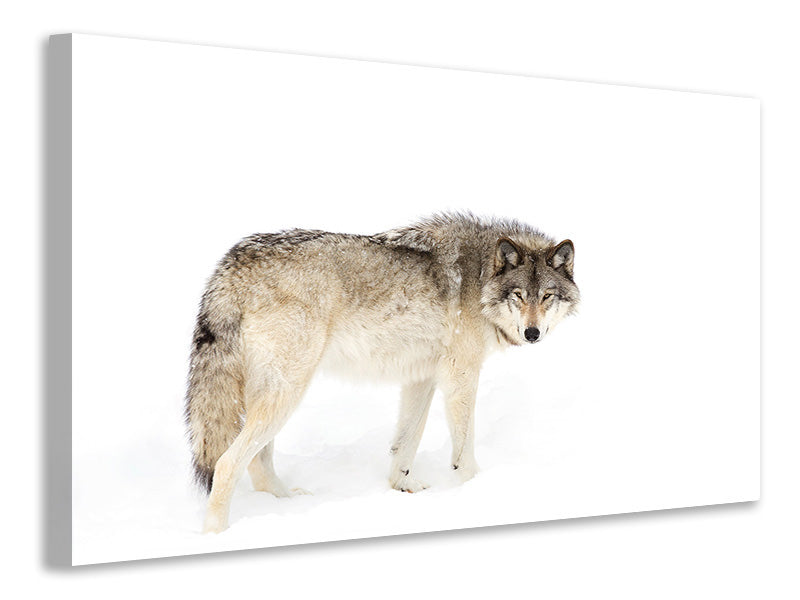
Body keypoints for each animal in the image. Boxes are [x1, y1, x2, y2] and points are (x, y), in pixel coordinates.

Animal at [185, 212, 580, 532]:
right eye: (518, 295)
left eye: (547, 296)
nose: (532, 333)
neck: (480, 276)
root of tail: (233, 260)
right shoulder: (460, 376)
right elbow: (463, 454)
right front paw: (474, 490)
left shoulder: (422, 377)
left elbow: (405, 443)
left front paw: (404, 488)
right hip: (287, 391)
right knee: (227, 463)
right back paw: (217, 535)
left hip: (272, 394)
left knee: (258, 461)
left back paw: (288, 503)